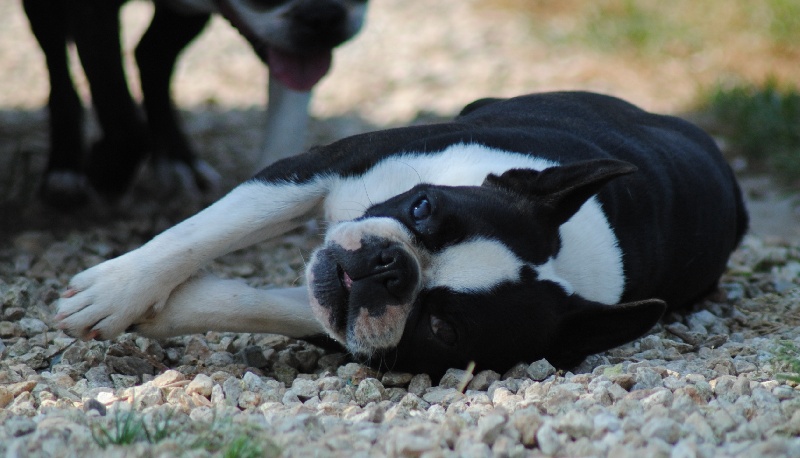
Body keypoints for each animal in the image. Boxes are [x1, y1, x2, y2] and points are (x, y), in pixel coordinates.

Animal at [57, 90, 752, 376]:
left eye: (443, 327)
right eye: (423, 207)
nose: (390, 268)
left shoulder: (353, 328)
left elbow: (276, 307)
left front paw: (168, 309)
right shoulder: (315, 170)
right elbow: (205, 230)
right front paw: (119, 289)